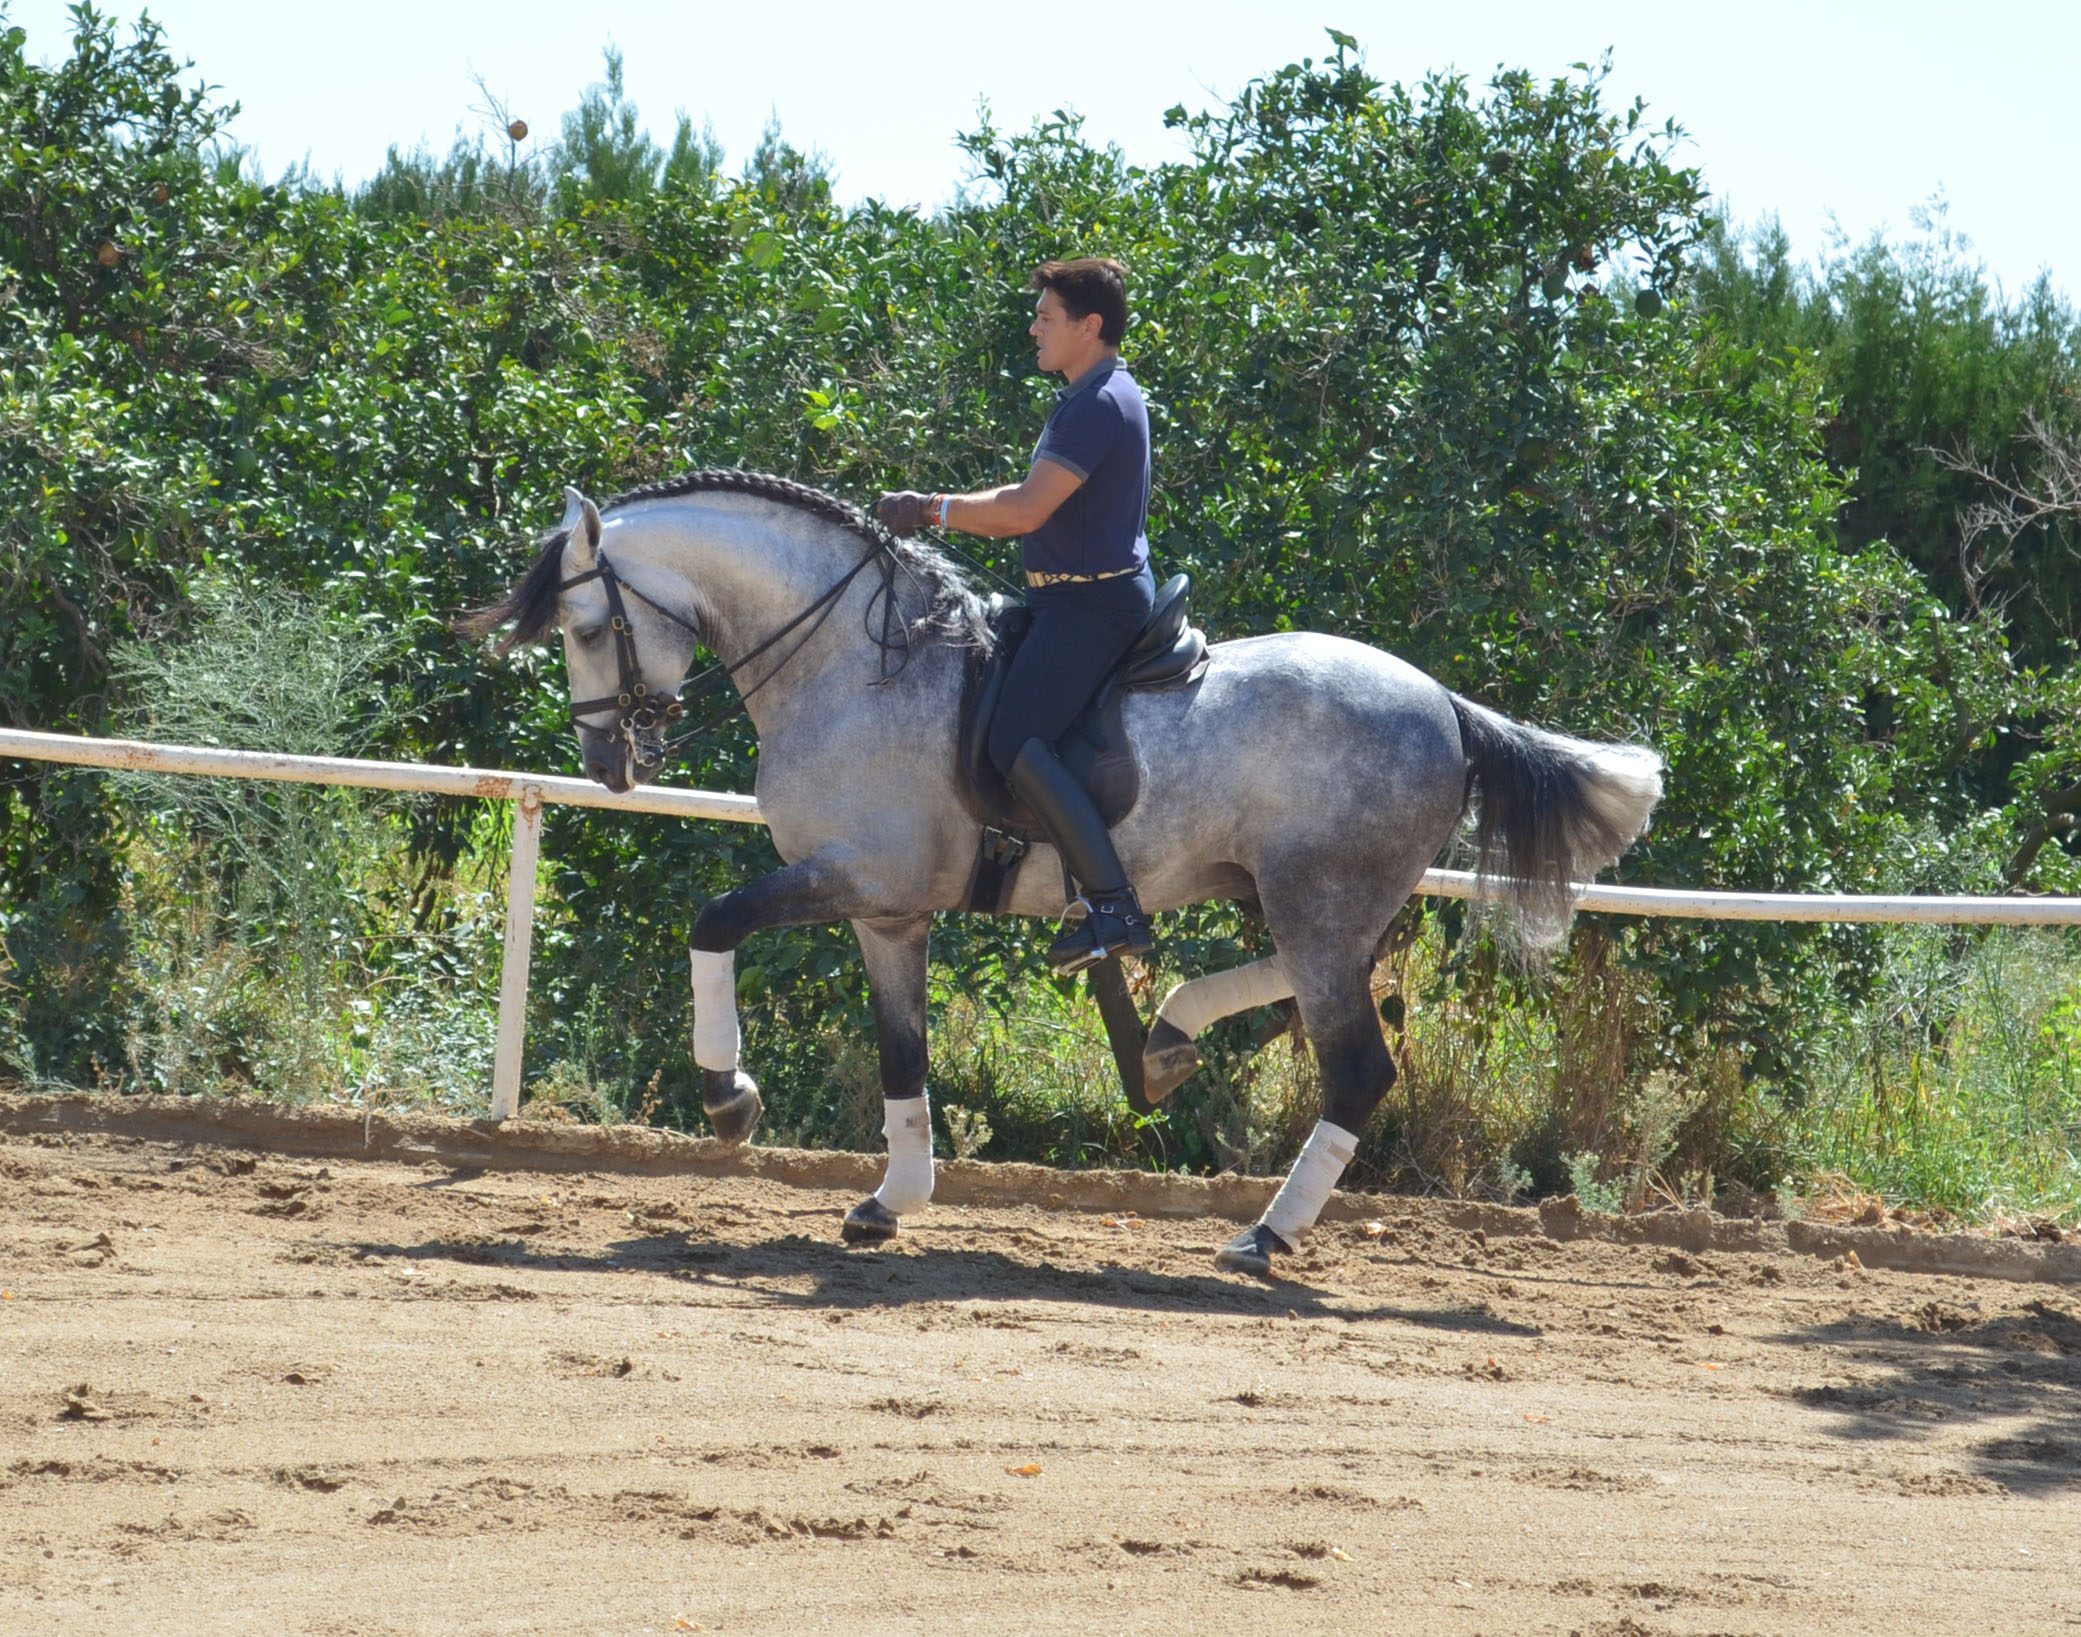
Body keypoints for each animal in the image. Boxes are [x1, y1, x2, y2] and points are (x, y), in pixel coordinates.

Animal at [468, 468, 1656, 1272]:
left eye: (586, 623)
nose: (607, 761)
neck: (849, 662)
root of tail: (1446, 706)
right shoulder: (889, 913)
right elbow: (902, 1053)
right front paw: (891, 1198)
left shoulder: (855, 874)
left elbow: (712, 921)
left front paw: (730, 1096)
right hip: (1301, 894)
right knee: (1308, 976)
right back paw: (1167, 1032)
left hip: (1317, 900)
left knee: (1357, 1064)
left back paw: (1262, 1234)